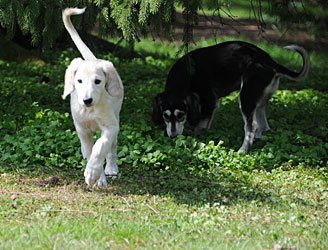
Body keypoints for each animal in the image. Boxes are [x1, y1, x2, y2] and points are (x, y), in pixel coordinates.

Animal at [61, 7, 123, 187]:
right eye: (79, 81)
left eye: (98, 81)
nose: (87, 100)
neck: (91, 110)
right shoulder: (82, 129)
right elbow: (90, 150)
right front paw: (97, 178)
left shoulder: (110, 126)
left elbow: (100, 147)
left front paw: (92, 173)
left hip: (117, 116)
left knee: (112, 148)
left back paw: (111, 168)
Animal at [152, 41, 308, 152]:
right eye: (165, 116)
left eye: (180, 115)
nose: (172, 137)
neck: (185, 75)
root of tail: (270, 62)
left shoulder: (209, 102)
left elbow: (199, 127)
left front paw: (198, 142)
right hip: (259, 102)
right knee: (263, 126)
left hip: (245, 98)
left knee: (252, 127)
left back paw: (243, 150)